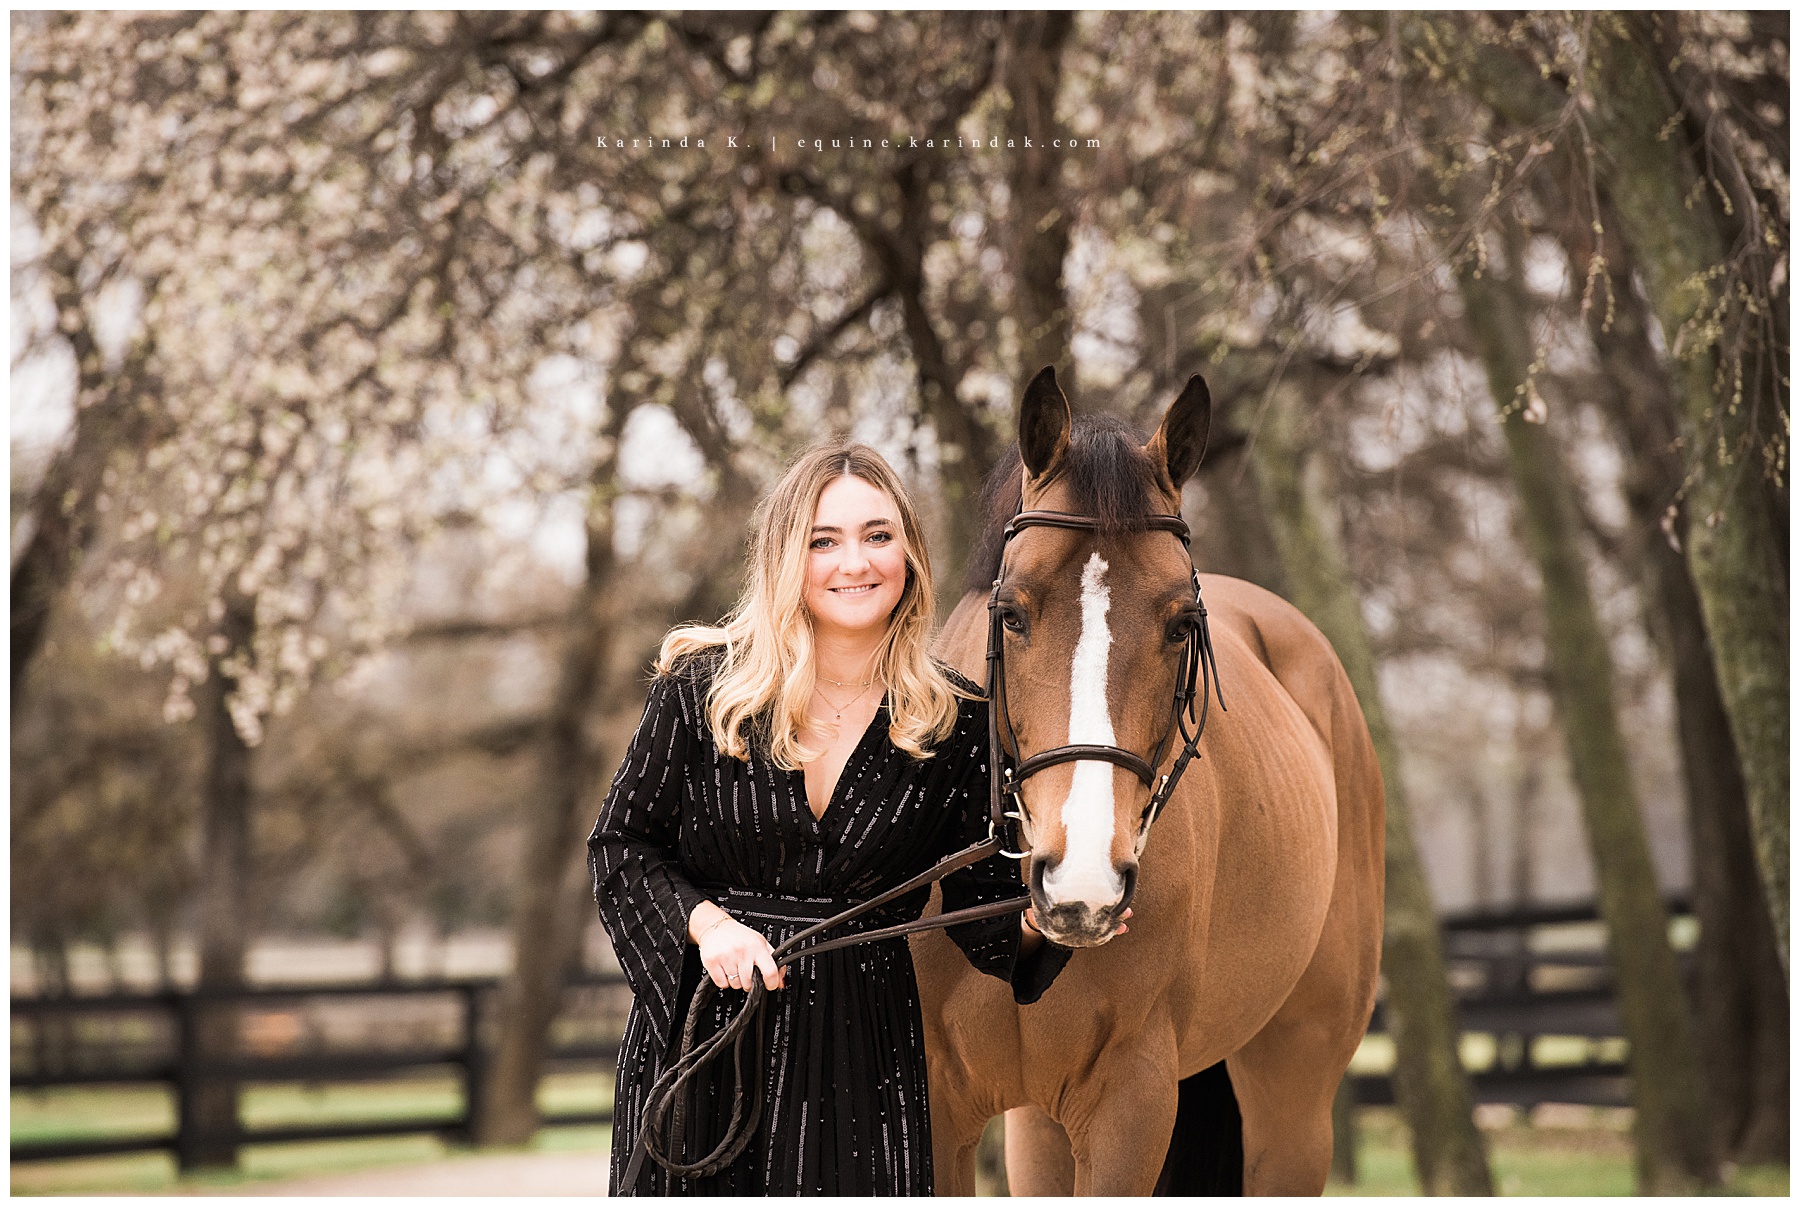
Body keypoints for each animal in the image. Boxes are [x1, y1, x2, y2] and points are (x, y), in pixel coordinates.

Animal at [911, 367, 1385, 1195]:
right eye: (1011, 613)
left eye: (1181, 623)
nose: (1083, 882)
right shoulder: (934, 1108)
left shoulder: (1129, 1102)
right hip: (1041, 1128)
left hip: (1292, 1102)